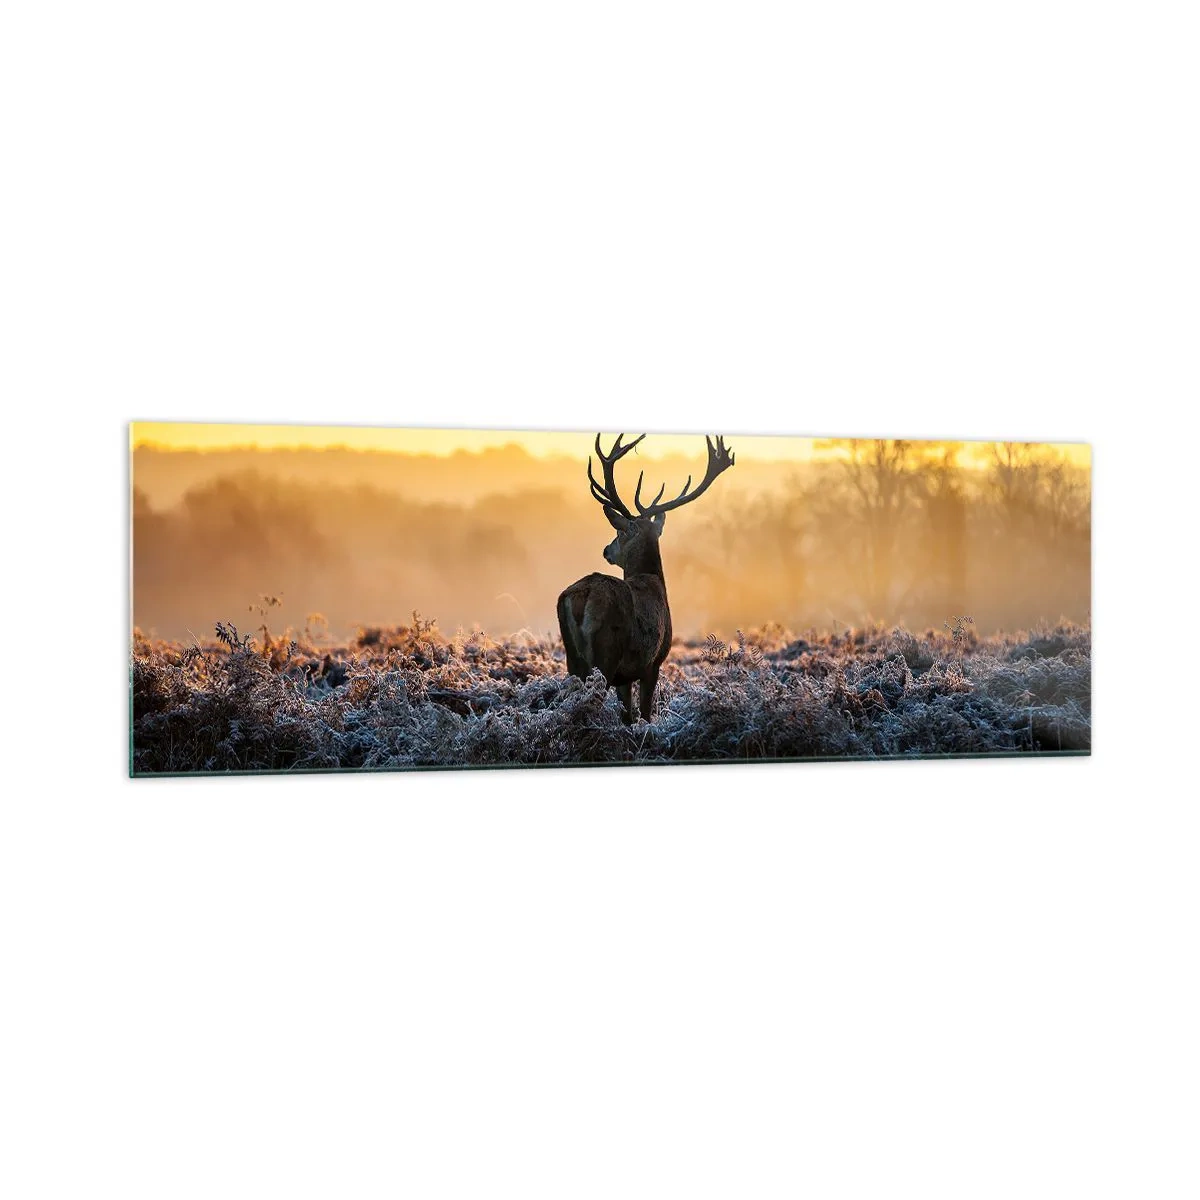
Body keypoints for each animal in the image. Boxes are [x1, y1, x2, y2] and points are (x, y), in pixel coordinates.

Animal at [557, 433, 736, 724]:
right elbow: (645, 714)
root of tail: (582, 597)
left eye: (618, 534)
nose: (606, 550)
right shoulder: (652, 663)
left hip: (572, 657)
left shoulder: (627, 676)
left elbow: (627, 715)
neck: (654, 581)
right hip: (606, 653)